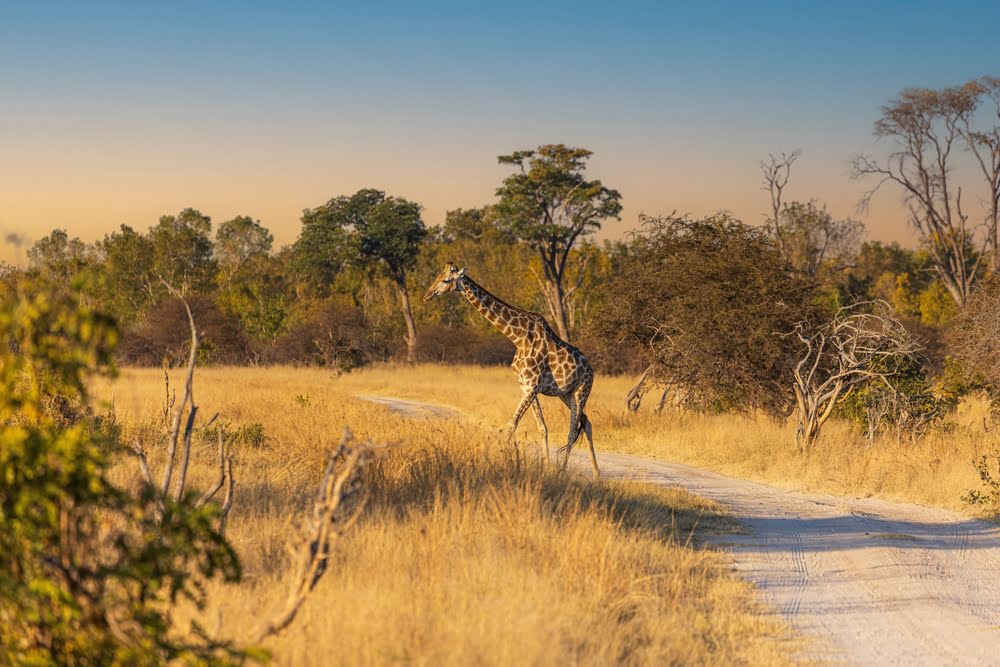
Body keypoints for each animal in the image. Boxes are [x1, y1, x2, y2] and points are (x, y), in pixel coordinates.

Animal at [423, 262, 599, 478]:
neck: (517, 337)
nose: (427, 295)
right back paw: (597, 473)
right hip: (566, 394)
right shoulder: (526, 386)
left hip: (582, 391)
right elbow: (542, 427)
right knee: (586, 423)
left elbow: (511, 426)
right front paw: (545, 466)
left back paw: (564, 470)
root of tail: (591, 370)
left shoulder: (532, 386)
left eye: (446, 280)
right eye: (437, 277)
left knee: (573, 429)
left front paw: (495, 463)